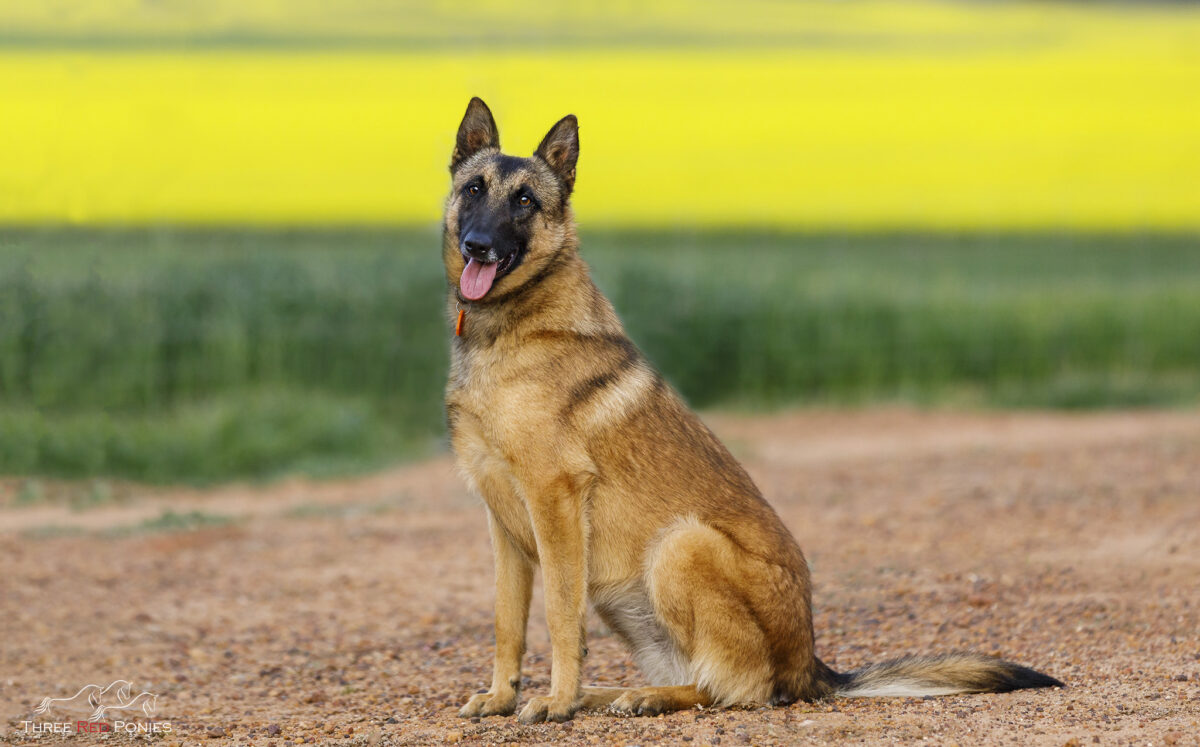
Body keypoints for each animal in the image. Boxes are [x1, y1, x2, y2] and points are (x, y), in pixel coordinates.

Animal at [441, 96, 1060, 725]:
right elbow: (507, 621)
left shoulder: (555, 502)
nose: (477, 246)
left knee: (738, 687)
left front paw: (558, 701)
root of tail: (810, 665)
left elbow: (560, 617)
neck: (511, 326)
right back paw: (611, 693)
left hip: (681, 544)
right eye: (474, 189)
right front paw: (503, 696)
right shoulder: (503, 524)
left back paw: (639, 696)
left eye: (525, 201)